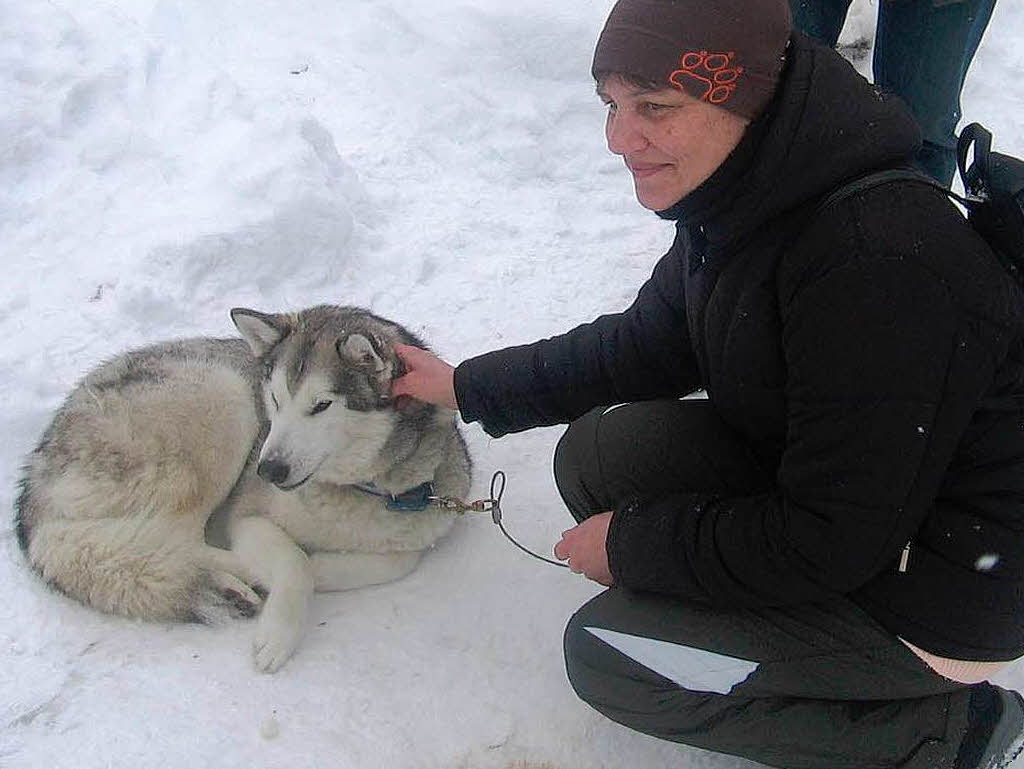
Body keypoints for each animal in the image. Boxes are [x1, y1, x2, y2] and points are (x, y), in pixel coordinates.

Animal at [14, 307, 468, 671]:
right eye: (275, 399)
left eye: (322, 405)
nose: (269, 469)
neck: (356, 488)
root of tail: (34, 478)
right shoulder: (247, 515)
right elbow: (295, 563)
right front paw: (282, 624)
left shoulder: (428, 518)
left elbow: (401, 559)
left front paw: (322, 565)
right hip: (221, 395)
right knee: (171, 539)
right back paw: (234, 579)